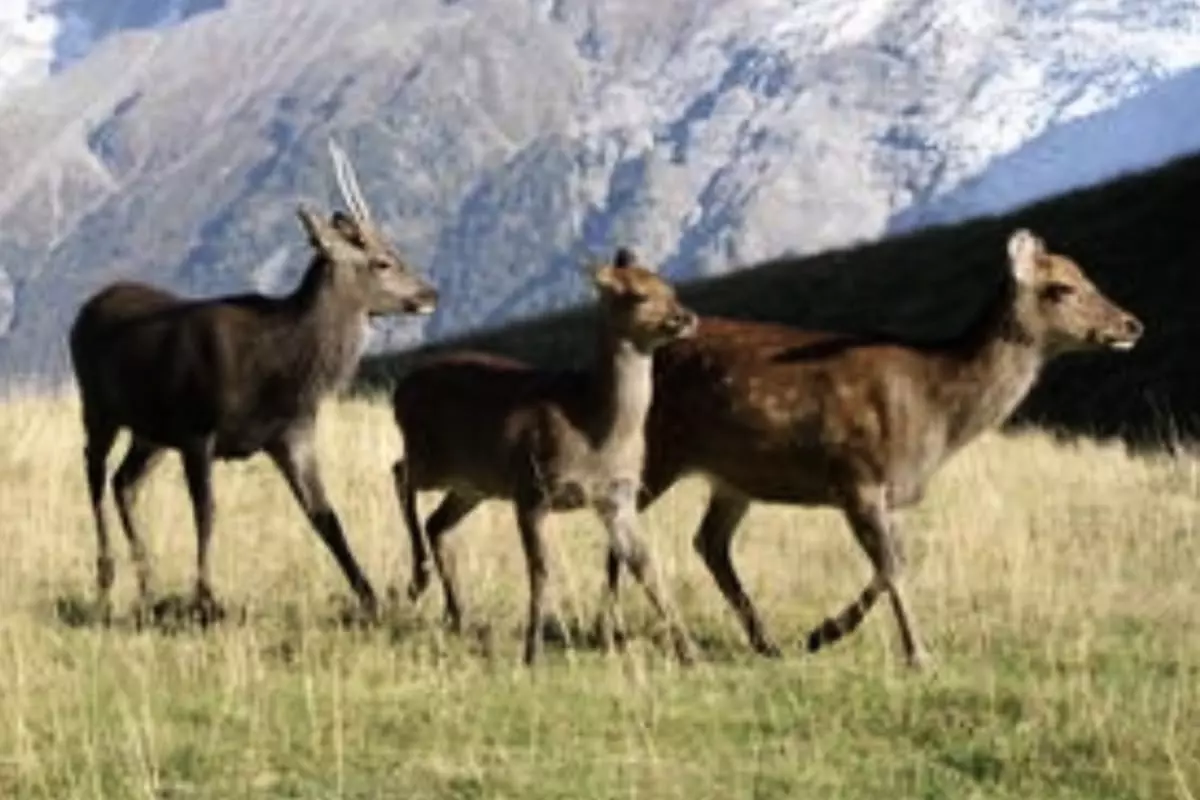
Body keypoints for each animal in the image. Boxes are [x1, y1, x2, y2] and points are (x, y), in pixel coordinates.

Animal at [69, 140, 439, 625]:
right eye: (382, 261)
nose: (430, 294)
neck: (278, 372)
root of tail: (84, 309)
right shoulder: (197, 429)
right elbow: (207, 512)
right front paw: (206, 599)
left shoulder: (292, 434)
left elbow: (326, 517)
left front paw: (370, 598)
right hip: (98, 406)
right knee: (94, 472)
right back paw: (107, 578)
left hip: (151, 433)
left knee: (124, 483)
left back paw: (149, 588)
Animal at [390, 248, 699, 665]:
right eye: (637, 295)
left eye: (671, 287)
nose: (686, 318)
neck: (593, 430)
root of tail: (399, 390)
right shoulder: (532, 490)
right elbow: (541, 570)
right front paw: (532, 651)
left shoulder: (617, 499)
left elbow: (646, 566)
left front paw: (689, 651)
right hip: (432, 456)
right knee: (399, 473)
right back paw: (419, 576)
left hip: (475, 484)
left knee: (436, 522)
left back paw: (459, 616)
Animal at [597, 228, 1143, 669]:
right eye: (1062, 287)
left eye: (1086, 276)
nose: (1131, 325)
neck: (937, 412)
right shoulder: (856, 476)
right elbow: (893, 566)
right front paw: (913, 654)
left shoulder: (893, 492)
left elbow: (894, 561)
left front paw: (820, 635)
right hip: (657, 449)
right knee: (624, 526)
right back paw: (612, 631)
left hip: (734, 477)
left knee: (709, 542)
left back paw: (764, 642)